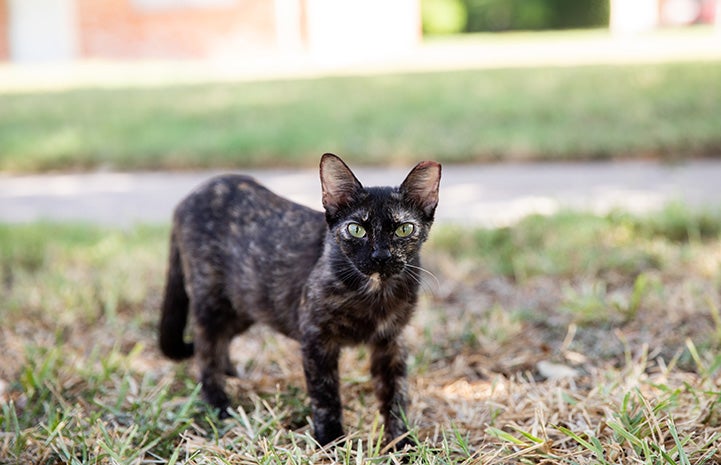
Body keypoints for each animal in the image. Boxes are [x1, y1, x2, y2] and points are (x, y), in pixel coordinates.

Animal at [159, 152, 438, 446]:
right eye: (356, 230)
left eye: (404, 229)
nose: (380, 256)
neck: (376, 294)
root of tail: (190, 196)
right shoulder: (316, 338)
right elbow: (326, 396)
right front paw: (331, 442)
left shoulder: (391, 341)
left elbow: (396, 395)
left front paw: (402, 443)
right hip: (211, 303)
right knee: (206, 351)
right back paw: (219, 405)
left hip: (247, 305)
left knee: (221, 341)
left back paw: (231, 375)